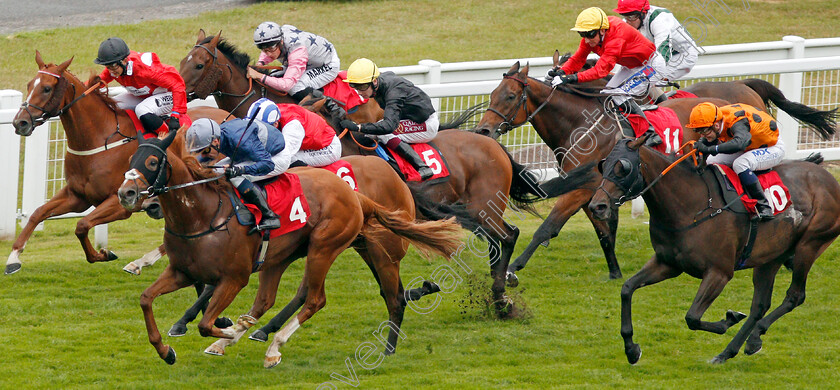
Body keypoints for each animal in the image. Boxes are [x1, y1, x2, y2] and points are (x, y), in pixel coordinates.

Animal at [7, 51, 230, 274]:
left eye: (46, 88)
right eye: (29, 85)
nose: (20, 122)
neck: (99, 138)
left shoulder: (120, 202)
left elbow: (82, 225)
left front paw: (104, 254)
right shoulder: (77, 196)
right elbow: (38, 213)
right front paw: (13, 258)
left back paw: (143, 260)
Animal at [115, 129, 462, 368]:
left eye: (151, 161)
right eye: (129, 160)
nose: (126, 193)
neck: (201, 214)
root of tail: (353, 194)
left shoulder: (234, 277)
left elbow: (205, 324)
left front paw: (228, 331)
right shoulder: (182, 272)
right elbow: (146, 300)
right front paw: (166, 350)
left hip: (333, 247)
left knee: (324, 298)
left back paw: (275, 346)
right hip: (284, 256)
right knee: (270, 299)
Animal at [584, 136, 840, 364]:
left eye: (623, 168)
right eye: (603, 165)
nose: (597, 206)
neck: (690, 206)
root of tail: (829, 179)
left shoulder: (719, 272)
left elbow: (692, 317)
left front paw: (729, 318)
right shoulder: (668, 263)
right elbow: (627, 289)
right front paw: (631, 349)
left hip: (810, 244)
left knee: (795, 295)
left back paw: (750, 338)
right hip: (771, 256)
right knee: (760, 305)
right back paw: (736, 348)